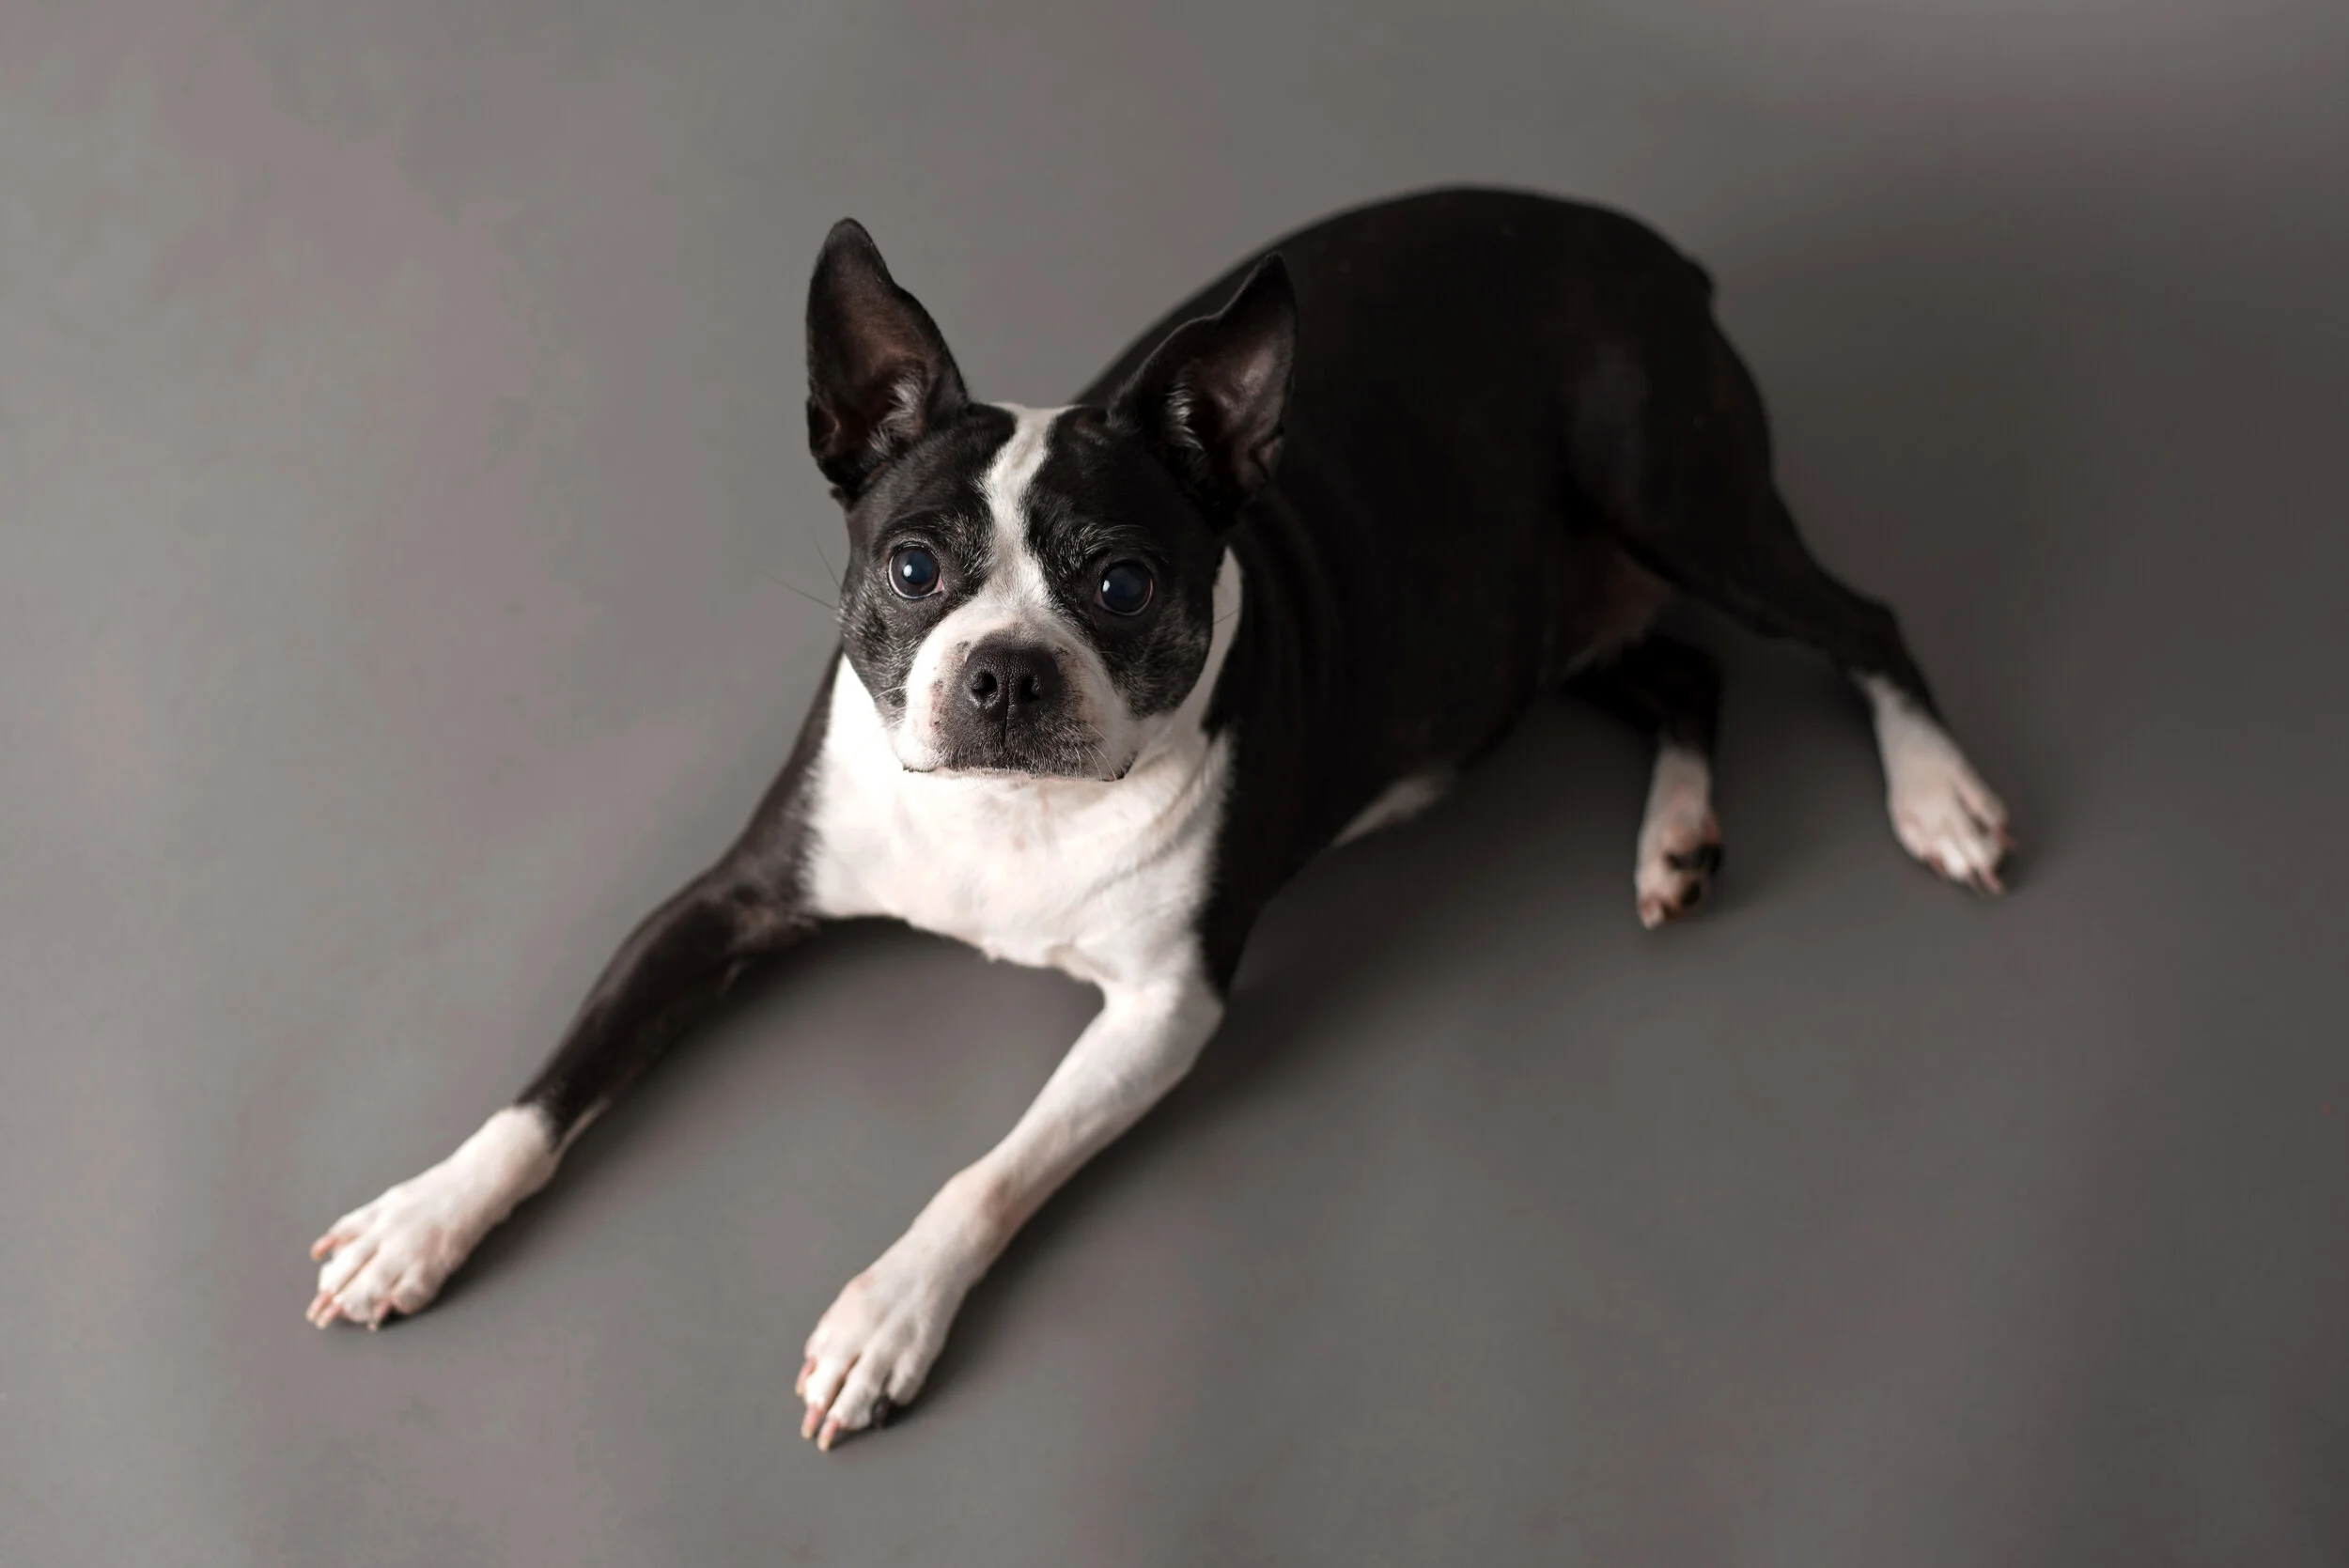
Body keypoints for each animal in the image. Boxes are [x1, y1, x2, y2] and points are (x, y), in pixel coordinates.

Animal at [306, 187, 2012, 1449]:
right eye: (913, 567)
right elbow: (553, 1086)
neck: (1010, 818)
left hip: (1683, 495)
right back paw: (1675, 833)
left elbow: (989, 1171)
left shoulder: (1163, 1007)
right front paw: (420, 1217)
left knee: (1859, 622)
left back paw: (1939, 795)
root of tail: (1653, 249)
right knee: (1691, 673)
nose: (1002, 667)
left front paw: (886, 1313)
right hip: (1546, 630)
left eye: (1122, 585)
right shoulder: (726, 897)